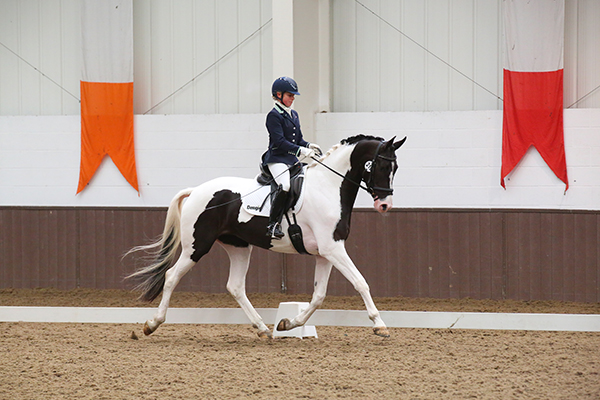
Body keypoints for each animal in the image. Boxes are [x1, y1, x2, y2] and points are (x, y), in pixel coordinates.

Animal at [126, 134, 408, 338]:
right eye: (383, 165)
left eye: (395, 167)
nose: (385, 205)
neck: (328, 187)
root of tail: (196, 190)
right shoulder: (333, 249)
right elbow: (361, 282)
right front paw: (380, 325)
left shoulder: (326, 253)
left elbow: (318, 296)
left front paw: (288, 323)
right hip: (197, 246)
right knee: (172, 276)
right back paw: (152, 324)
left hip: (238, 247)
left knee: (235, 286)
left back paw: (263, 329)